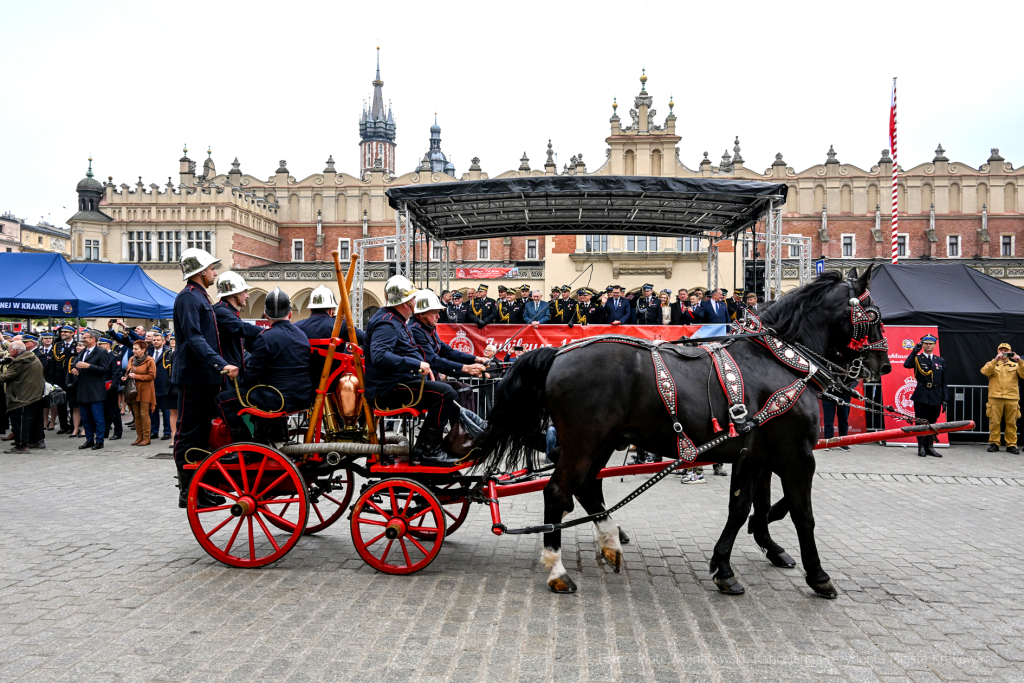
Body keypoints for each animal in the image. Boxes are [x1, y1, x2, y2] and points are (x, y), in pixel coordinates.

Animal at [479, 266, 888, 598]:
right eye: (875, 314)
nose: (881, 365)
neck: (781, 362)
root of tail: (558, 354)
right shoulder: (797, 454)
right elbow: (802, 513)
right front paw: (818, 575)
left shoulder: (753, 455)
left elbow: (741, 507)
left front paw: (725, 566)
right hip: (584, 441)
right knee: (558, 492)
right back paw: (558, 570)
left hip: (602, 442)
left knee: (587, 487)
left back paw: (610, 540)